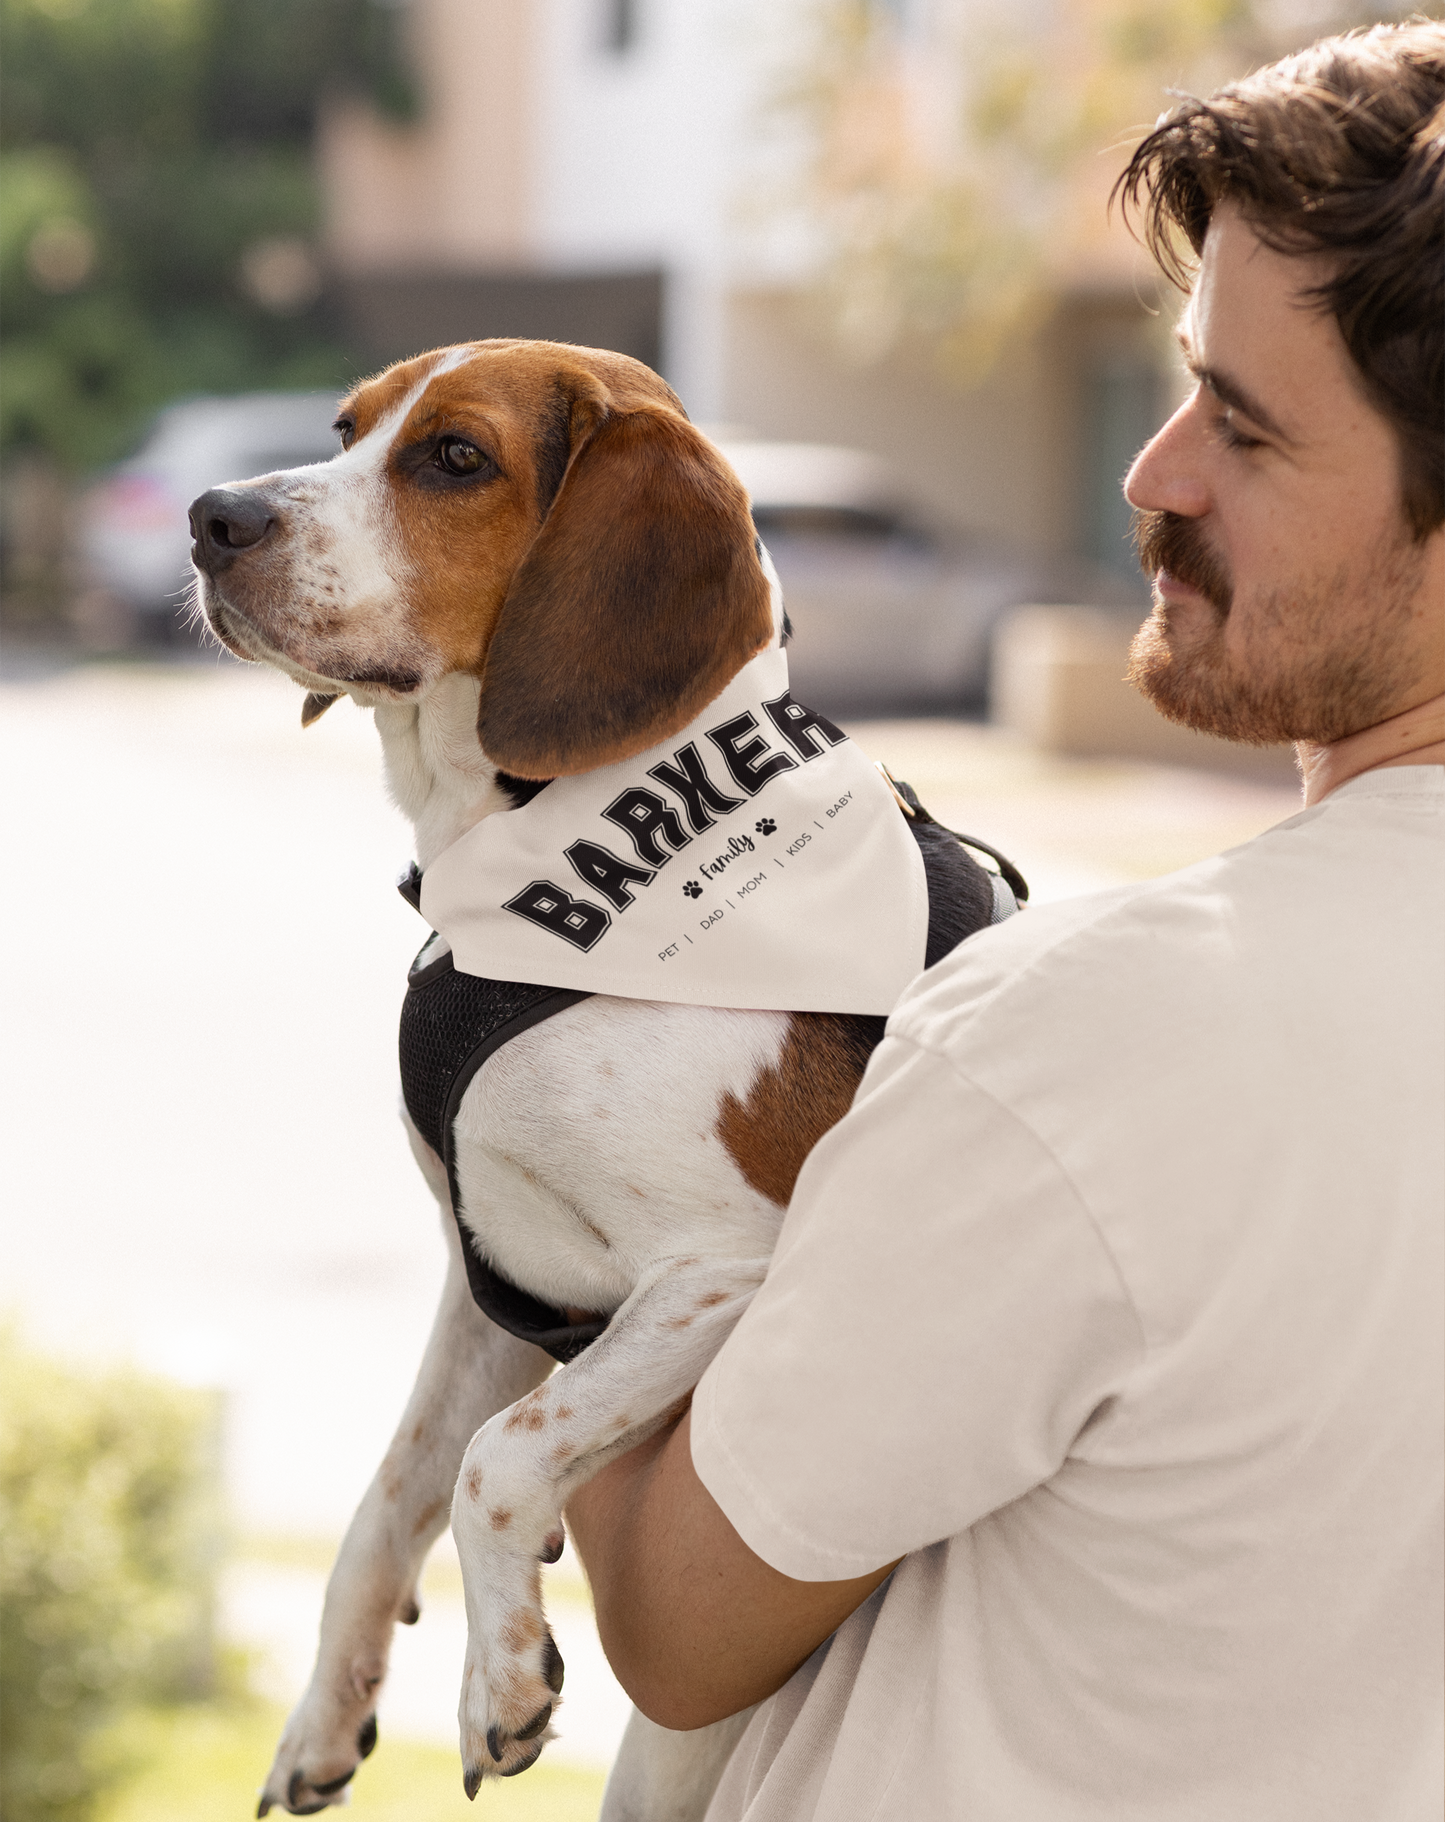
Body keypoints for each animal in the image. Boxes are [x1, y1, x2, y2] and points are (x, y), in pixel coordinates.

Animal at [185, 342, 1005, 1822]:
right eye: (344, 426)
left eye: (454, 458)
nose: (213, 516)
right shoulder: (493, 1277)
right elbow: (390, 1491)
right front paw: (327, 1708)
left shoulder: (729, 1269)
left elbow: (494, 1456)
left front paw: (498, 1679)